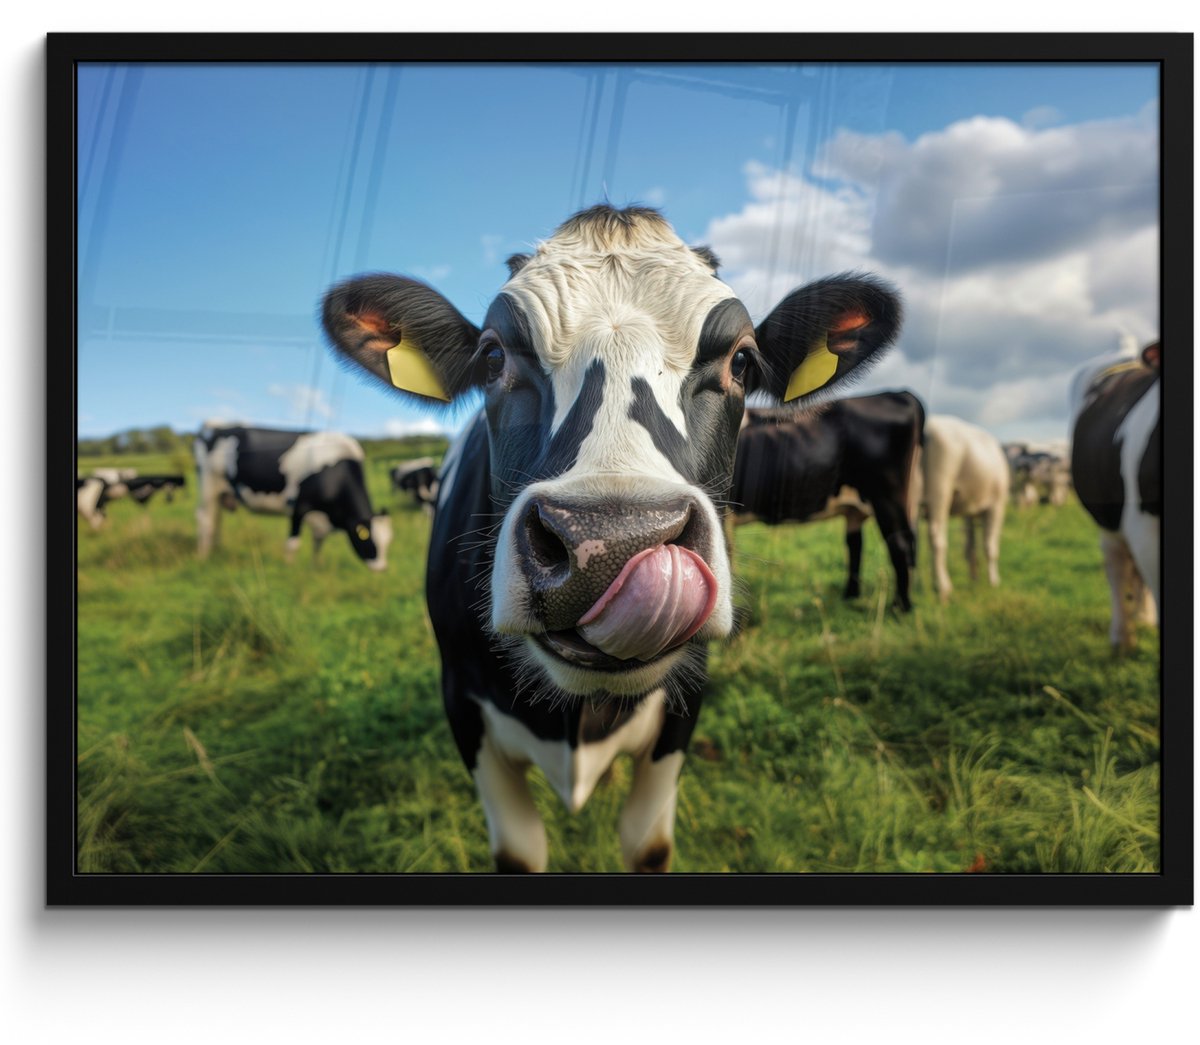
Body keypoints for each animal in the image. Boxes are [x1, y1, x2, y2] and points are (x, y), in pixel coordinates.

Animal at [193, 423, 393, 570]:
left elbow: (318, 544)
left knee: (216, 520)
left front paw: (316, 567)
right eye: (367, 538)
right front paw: (289, 569)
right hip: (208, 486)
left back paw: (216, 550)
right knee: (205, 520)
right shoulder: (299, 506)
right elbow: (293, 544)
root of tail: (215, 429)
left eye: (388, 541)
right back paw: (203, 556)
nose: (382, 568)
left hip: (220, 493)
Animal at [321, 204, 902, 872]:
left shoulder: (684, 706)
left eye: (742, 361)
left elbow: (646, 843)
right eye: (493, 358)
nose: (611, 544)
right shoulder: (463, 707)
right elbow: (519, 849)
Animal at [729, 390, 924, 611]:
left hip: (887, 496)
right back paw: (851, 596)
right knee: (857, 544)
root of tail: (899, 393)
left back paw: (900, 607)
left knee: (899, 543)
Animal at [918, 415, 1009, 602]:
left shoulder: (969, 511)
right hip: (939, 488)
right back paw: (943, 588)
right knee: (937, 538)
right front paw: (993, 582)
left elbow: (970, 546)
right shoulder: (997, 506)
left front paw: (974, 578)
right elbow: (990, 546)